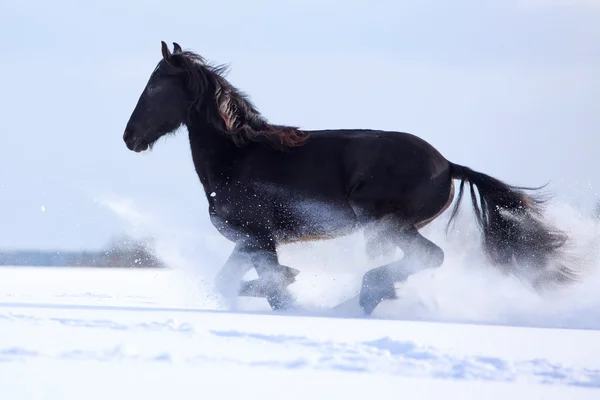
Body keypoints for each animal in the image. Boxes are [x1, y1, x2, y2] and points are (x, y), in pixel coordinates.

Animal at [123, 41, 580, 316]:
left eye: (155, 86)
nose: (130, 137)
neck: (239, 156)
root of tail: (447, 165)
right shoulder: (249, 240)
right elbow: (231, 283)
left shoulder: (260, 238)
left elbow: (273, 287)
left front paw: (291, 288)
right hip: (381, 230)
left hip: (385, 222)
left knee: (428, 257)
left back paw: (366, 293)